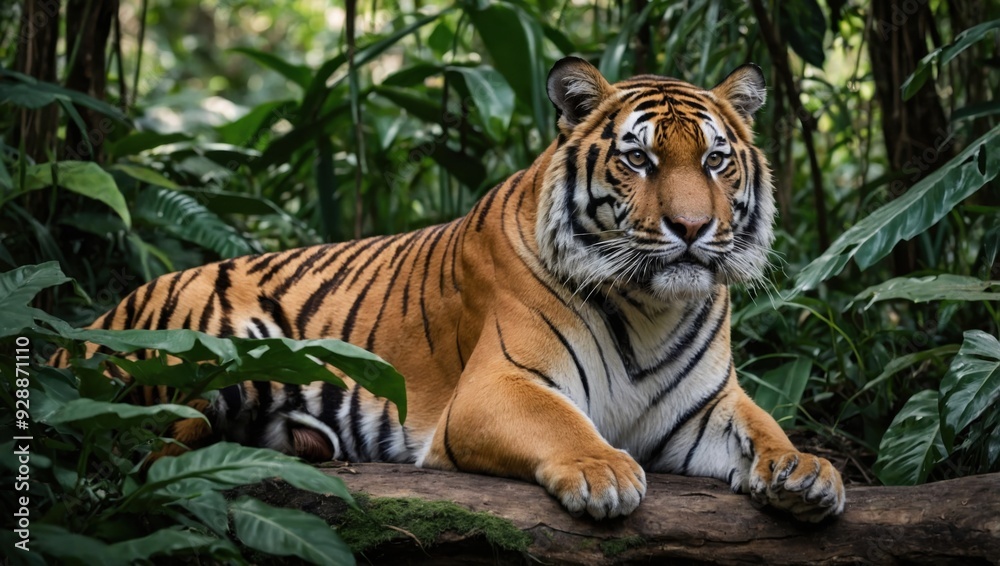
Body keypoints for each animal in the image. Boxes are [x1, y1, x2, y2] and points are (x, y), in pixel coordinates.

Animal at [53, 56, 845, 522]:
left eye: (714, 160)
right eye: (640, 160)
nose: (691, 227)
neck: (651, 303)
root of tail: (95, 320)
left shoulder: (703, 408)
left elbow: (765, 427)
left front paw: (807, 472)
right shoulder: (496, 387)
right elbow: (565, 424)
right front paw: (603, 472)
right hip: (187, 366)